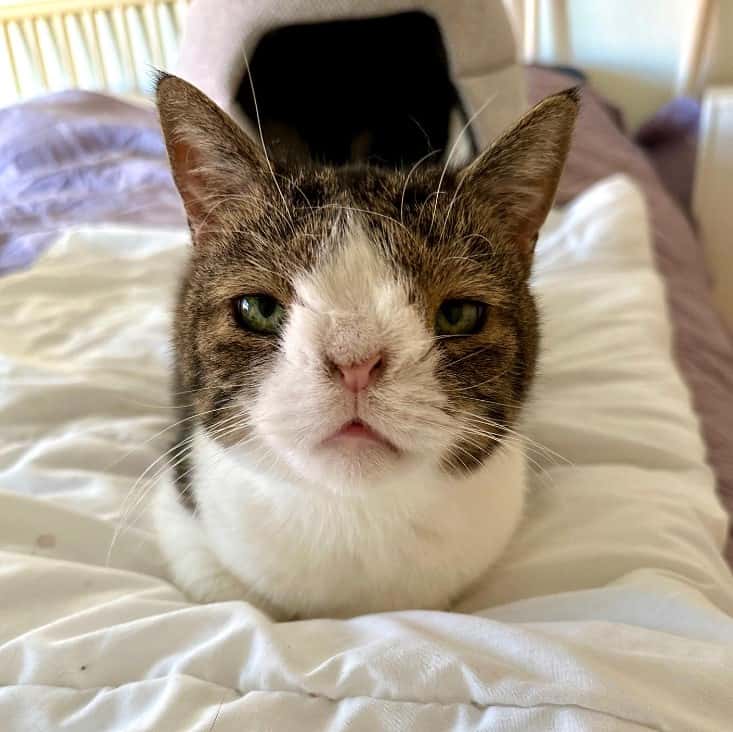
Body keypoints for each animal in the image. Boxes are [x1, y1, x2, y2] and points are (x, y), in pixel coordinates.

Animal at [154, 74, 576, 620]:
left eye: (458, 314)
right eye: (259, 309)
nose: (355, 361)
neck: (351, 519)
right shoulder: (180, 511)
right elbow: (232, 597)